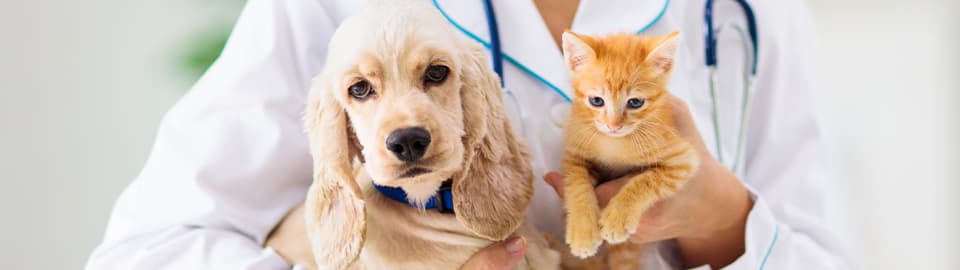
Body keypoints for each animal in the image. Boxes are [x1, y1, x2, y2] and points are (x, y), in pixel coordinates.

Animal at [560, 31, 700, 268]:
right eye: (596, 101)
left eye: (635, 102)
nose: (613, 126)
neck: (614, 143)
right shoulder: (574, 152)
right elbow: (576, 184)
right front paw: (583, 231)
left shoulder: (683, 159)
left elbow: (644, 181)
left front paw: (618, 217)